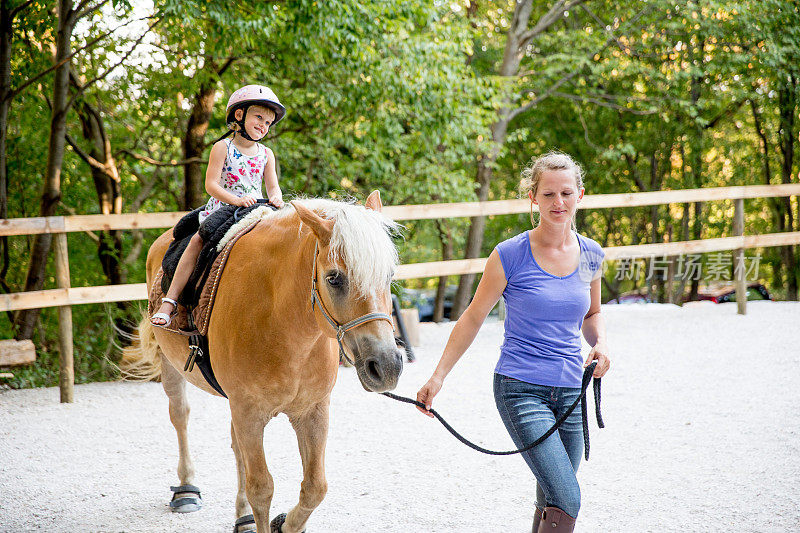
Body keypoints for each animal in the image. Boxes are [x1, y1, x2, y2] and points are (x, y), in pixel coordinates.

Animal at [125, 192, 406, 532]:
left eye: (389, 276)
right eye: (334, 279)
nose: (387, 366)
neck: (283, 320)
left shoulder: (312, 411)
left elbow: (315, 487)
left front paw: (284, 523)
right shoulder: (249, 412)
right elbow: (261, 487)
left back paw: (242, 515)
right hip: (172, 366)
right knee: (180, 415)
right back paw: (187, 489)